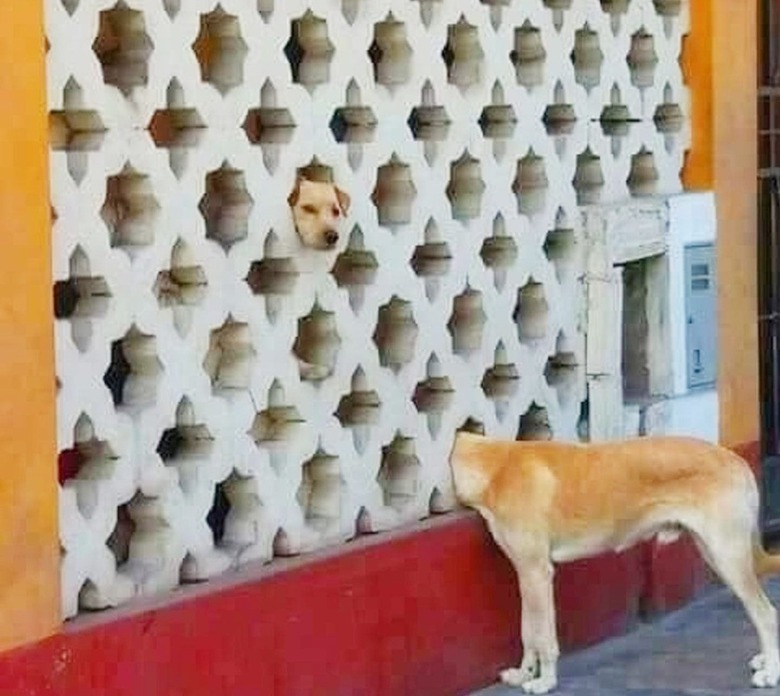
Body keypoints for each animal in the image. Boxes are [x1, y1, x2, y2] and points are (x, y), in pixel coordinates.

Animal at [448, 432, 780, 692]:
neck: (494, 468)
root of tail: (736, 460)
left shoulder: (537, 573)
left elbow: (544, 637)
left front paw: (546, 682)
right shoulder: (525, 574)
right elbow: (528, 631)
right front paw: (523, 673)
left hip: (727, 556)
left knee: (766, 613)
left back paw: (771, 672)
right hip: (714, 553)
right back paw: (767, 659)